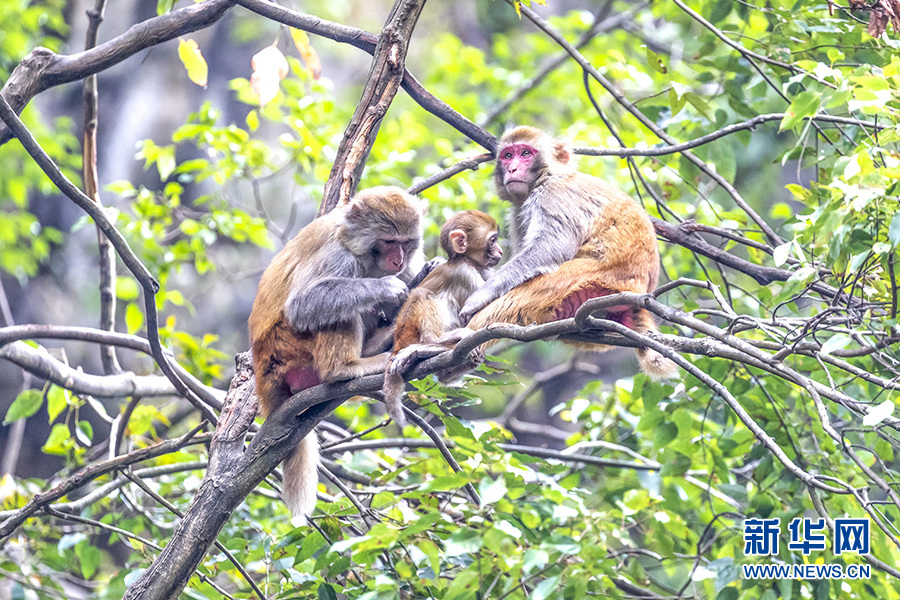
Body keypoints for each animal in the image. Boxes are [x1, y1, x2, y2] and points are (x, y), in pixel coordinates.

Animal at [250, 186, 426, 516]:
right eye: (388, 241)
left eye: (406, 243)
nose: (397, 262)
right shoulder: (339, 256)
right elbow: (303, 303)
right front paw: (386, 287)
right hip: (288, 348)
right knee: (336, 308)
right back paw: (344, 367)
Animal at [384, 209, 502, 424]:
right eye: (492, 240)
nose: (500, 251)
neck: (464, 260)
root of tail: (397, 342)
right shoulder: (465, 273)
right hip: (408, 328)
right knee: (423, 294)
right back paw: (433, 344)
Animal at [460, 126, 680, 380]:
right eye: (507, 155)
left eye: (525, 153)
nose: (512, 168)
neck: (547, 177)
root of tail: (640, 293)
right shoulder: (518, 211)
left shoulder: (552, 195)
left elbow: (549, 248)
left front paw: (479, 297)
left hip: (588, 277)